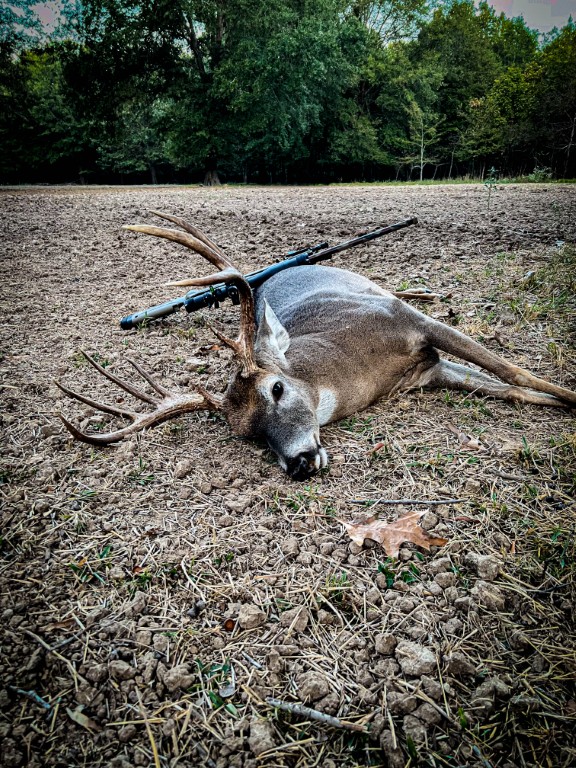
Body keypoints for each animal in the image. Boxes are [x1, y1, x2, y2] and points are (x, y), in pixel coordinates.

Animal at [57, 212, 576, 480]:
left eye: (277, 389)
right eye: (249, 435)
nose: (299, 462)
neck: (360, 369)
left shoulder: (411, 324)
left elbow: (514, 372)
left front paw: (570, 399)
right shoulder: (428, 373)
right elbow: (512, 389)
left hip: (384, 292)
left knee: (409, 292)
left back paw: (431, 291)